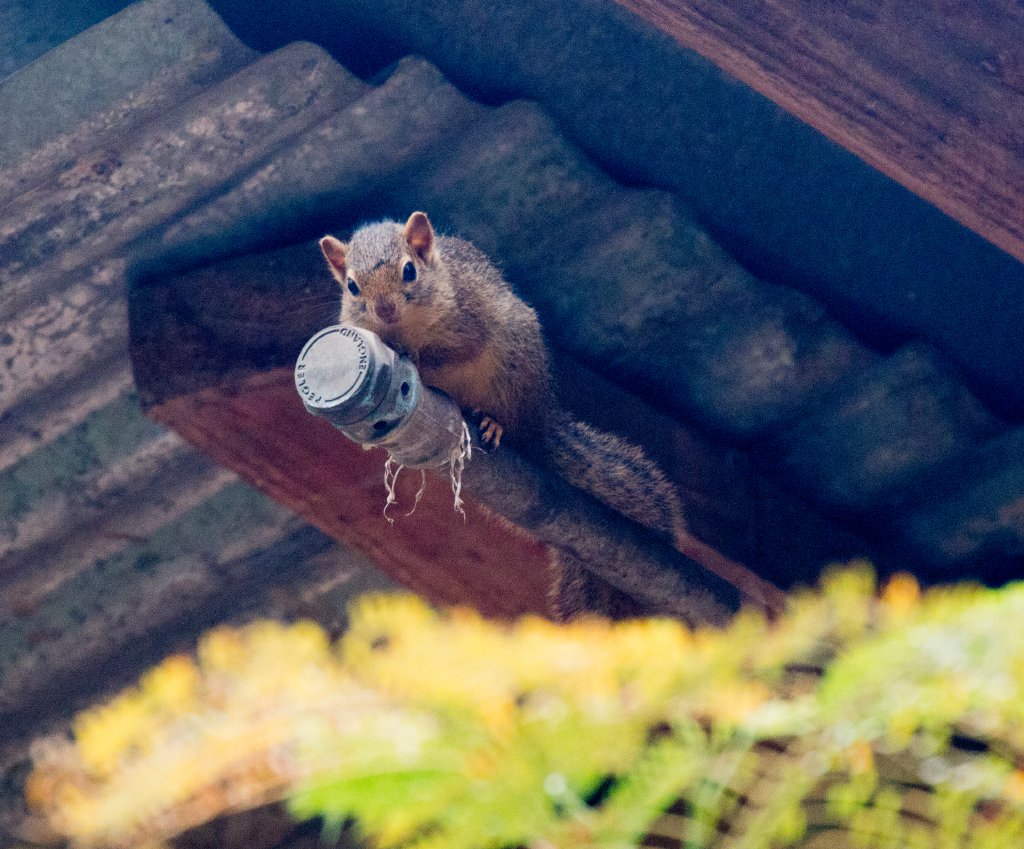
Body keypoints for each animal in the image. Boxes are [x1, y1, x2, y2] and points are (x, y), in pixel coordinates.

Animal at [319, 212, 783, 619]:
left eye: (409, 271)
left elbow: (457, 347)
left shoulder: (470, 311)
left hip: (515, 362)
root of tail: (541, 424)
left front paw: (417, 357)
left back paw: (494, 423)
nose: (385, 310)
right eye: (353, 286)